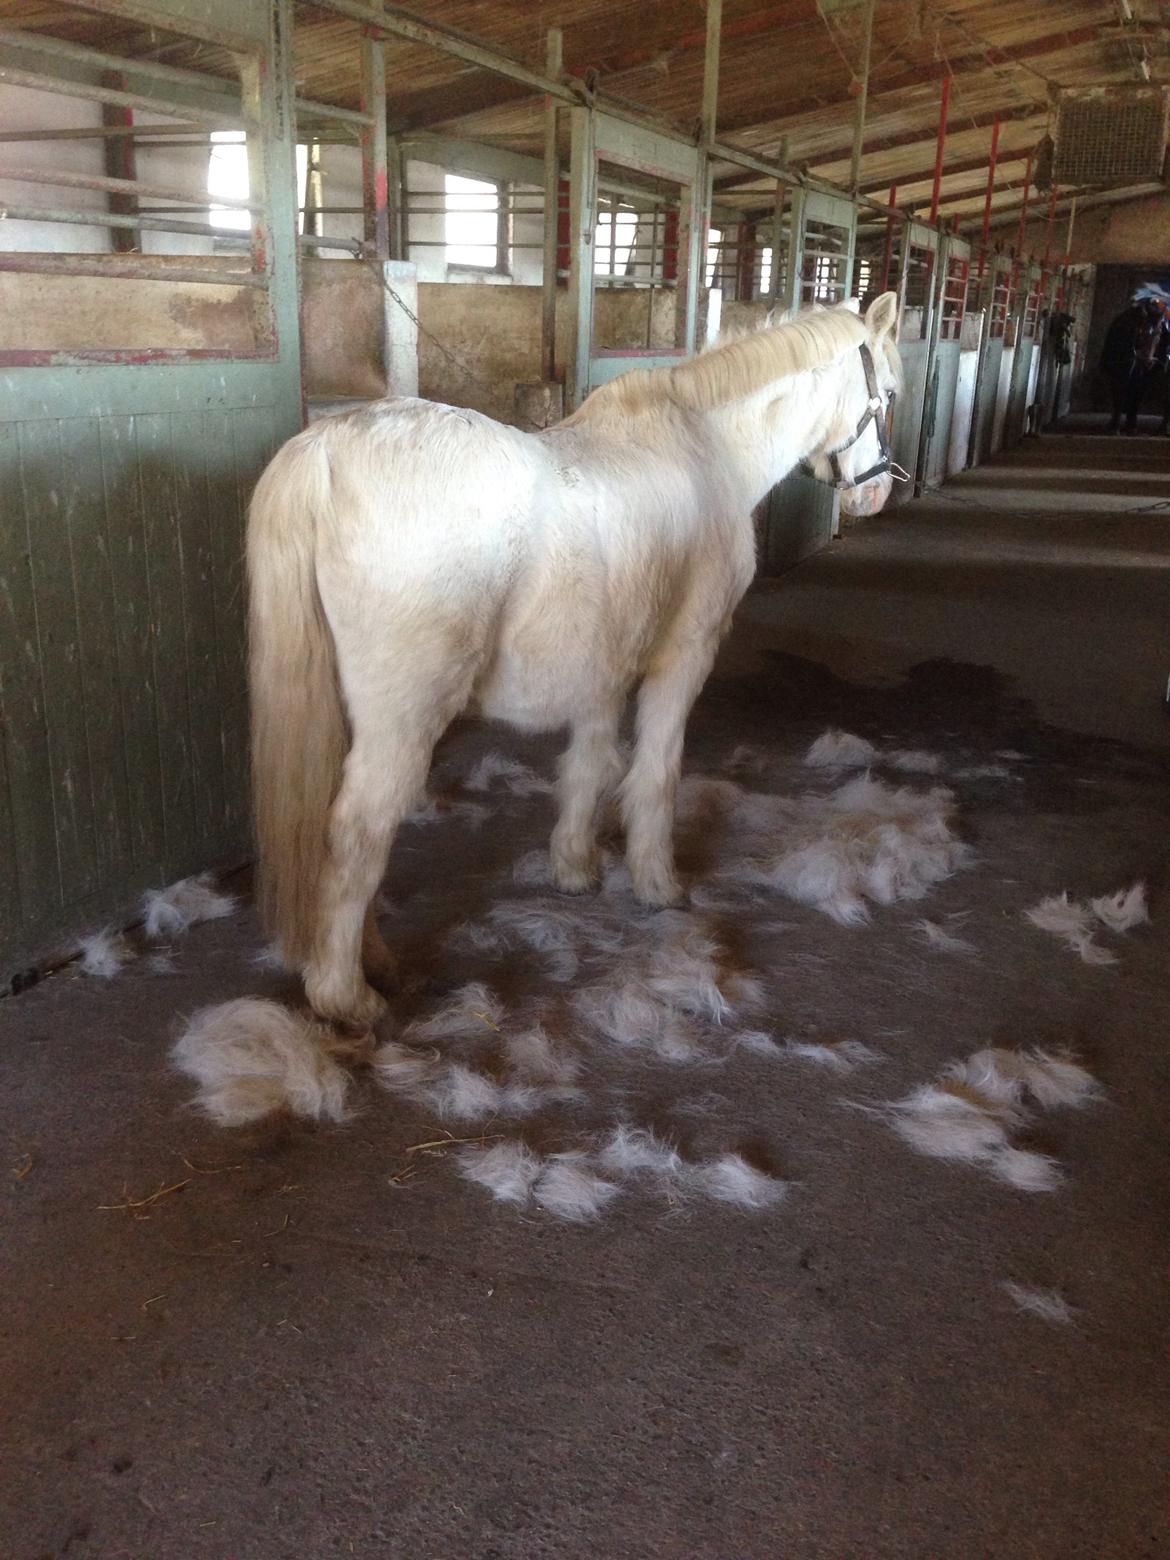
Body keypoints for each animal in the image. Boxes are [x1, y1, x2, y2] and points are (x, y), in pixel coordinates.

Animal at [247, 292, 902, 1029]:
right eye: (887, 395)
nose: (876, 493)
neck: (707, 449)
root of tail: (324, 448)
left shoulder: (605, 666)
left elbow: (589, 765)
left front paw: (575, 868)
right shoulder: (685, 655)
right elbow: (655, 772)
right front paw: (656, 883)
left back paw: (374, 961)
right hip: (402, 720)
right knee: (358, 832)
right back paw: (348, 996)